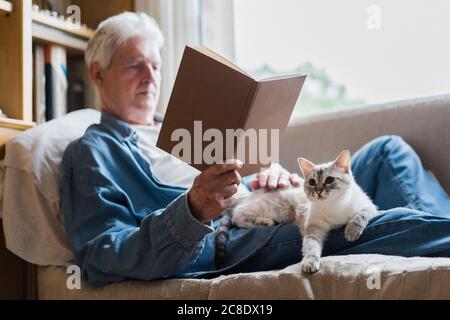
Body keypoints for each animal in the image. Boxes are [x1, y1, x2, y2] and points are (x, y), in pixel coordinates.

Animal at [214, 149, 376, 272]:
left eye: (329, 180)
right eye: (312, 182)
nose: (318, 192)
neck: (334, 206)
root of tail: (249, 194)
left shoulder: (370, 208)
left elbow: (360, 216)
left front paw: (351, 232)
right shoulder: (313, 228)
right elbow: (311, 248)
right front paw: (310, 263)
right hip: (276, 210)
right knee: (238, 216)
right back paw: (265, 222)